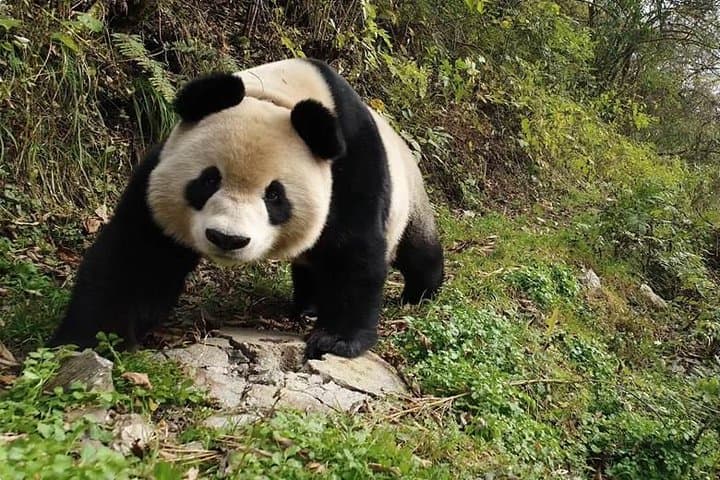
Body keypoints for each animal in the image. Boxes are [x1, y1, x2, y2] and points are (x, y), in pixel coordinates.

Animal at [49, 58, 444, 359]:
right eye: (208, 180)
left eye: (275, 196)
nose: (227, 239)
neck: (277, 97)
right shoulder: (156, 173)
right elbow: (138, 257)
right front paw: (88, 341)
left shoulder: (350, 168)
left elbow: (354, 251)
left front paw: (336, 340)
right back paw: (308, 305)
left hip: (409, 197)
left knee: (416, 249)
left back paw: (420, 294)